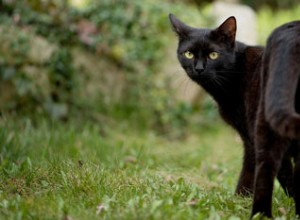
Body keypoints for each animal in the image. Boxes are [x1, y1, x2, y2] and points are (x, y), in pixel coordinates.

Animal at [169, 14, 298, 217]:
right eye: (188, 54)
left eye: (213, 55)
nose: (199, 68)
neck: (236, 72)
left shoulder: (250, 136)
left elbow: (250, 171)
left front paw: (237, 200)